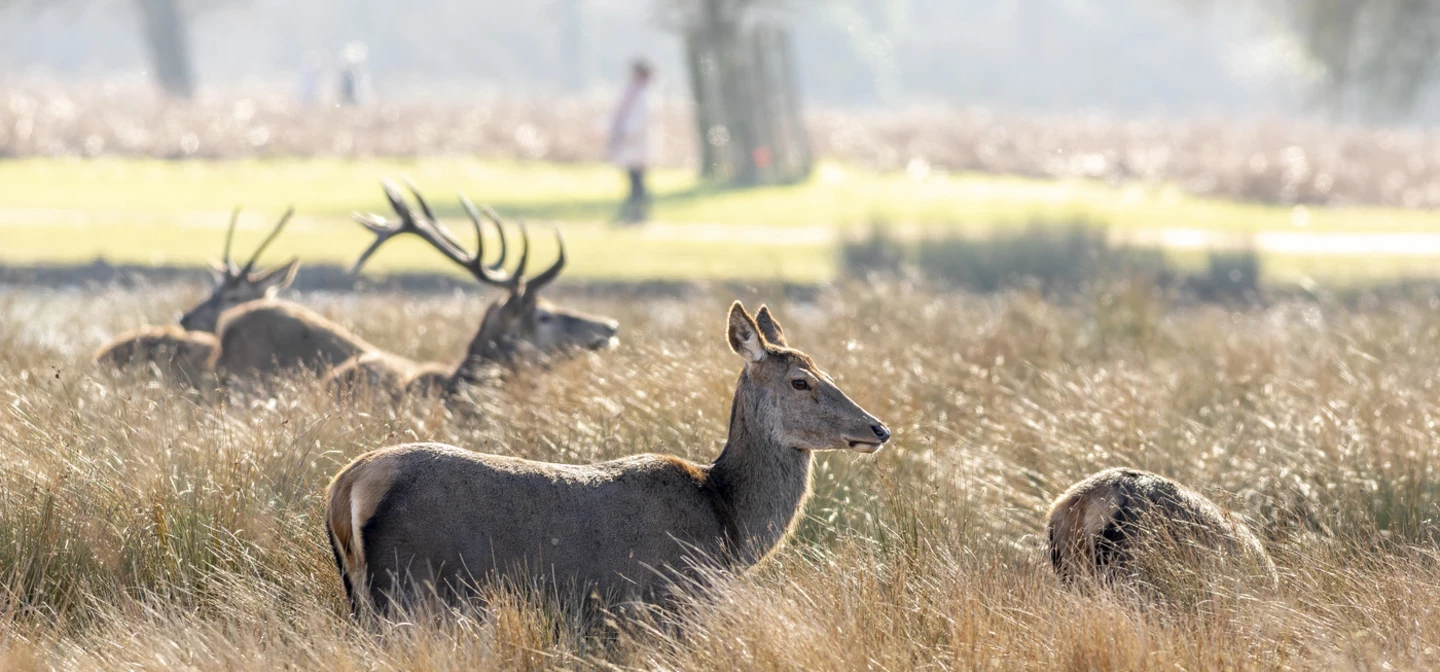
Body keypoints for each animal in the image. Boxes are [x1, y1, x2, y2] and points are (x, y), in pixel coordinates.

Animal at [325, 301, 892, 615]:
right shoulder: (667, 601)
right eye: (800, 381)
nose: (878, 428)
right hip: (409, 589)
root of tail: (345, 486)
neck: (727, 528)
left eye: (827, 370)